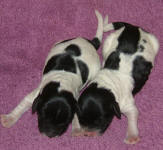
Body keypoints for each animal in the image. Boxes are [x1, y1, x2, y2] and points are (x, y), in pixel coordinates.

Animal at [0, 9, 104, 138]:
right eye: (42, 115)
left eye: (64, 122)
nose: (49, 134)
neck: (60, 84)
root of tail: (90, 43)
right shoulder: (36, 94)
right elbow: (23, 103)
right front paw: (9, 118)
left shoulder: (74, 99)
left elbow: (76, 114)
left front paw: (76, 128)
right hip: (59, 43)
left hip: (95, 69)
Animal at [76, 16, 159, 144]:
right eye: (82, 119)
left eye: (101, 120)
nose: (87, 134)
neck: (106, 85)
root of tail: (132, 27)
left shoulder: (128, 105)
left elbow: (132, 116)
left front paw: (131, 136)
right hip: (108, 42)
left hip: (155, 41)